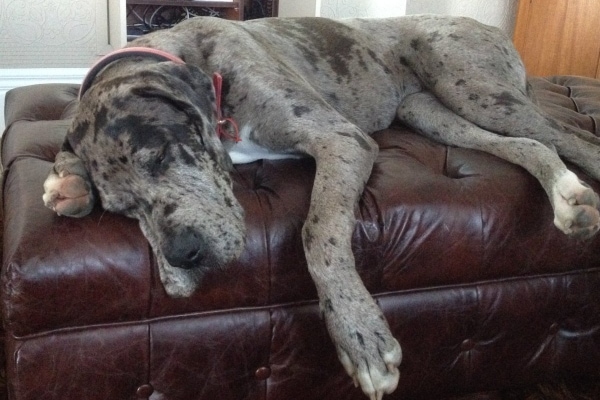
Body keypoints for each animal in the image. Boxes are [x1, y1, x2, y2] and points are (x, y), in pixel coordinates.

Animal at [42, 15, 600, 400]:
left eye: (157, 155)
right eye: (123, 209)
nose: (183, 255)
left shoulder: (341, 138)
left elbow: (319, 232)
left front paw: (360, 335)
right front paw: (68, 182)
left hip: (474, 87)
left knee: (572, 136)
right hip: (437, 114)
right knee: (529, 145)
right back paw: (568, 198)